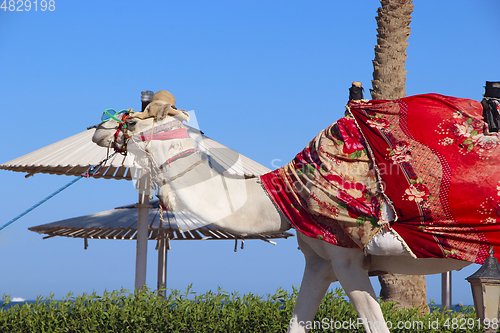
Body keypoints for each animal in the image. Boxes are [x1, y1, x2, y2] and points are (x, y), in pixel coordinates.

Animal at [92, 91, 470, 332]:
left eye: (134, 120)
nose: (98, 128)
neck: (285, 197)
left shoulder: (348, 259)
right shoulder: (320, 263)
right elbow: (296, 323)